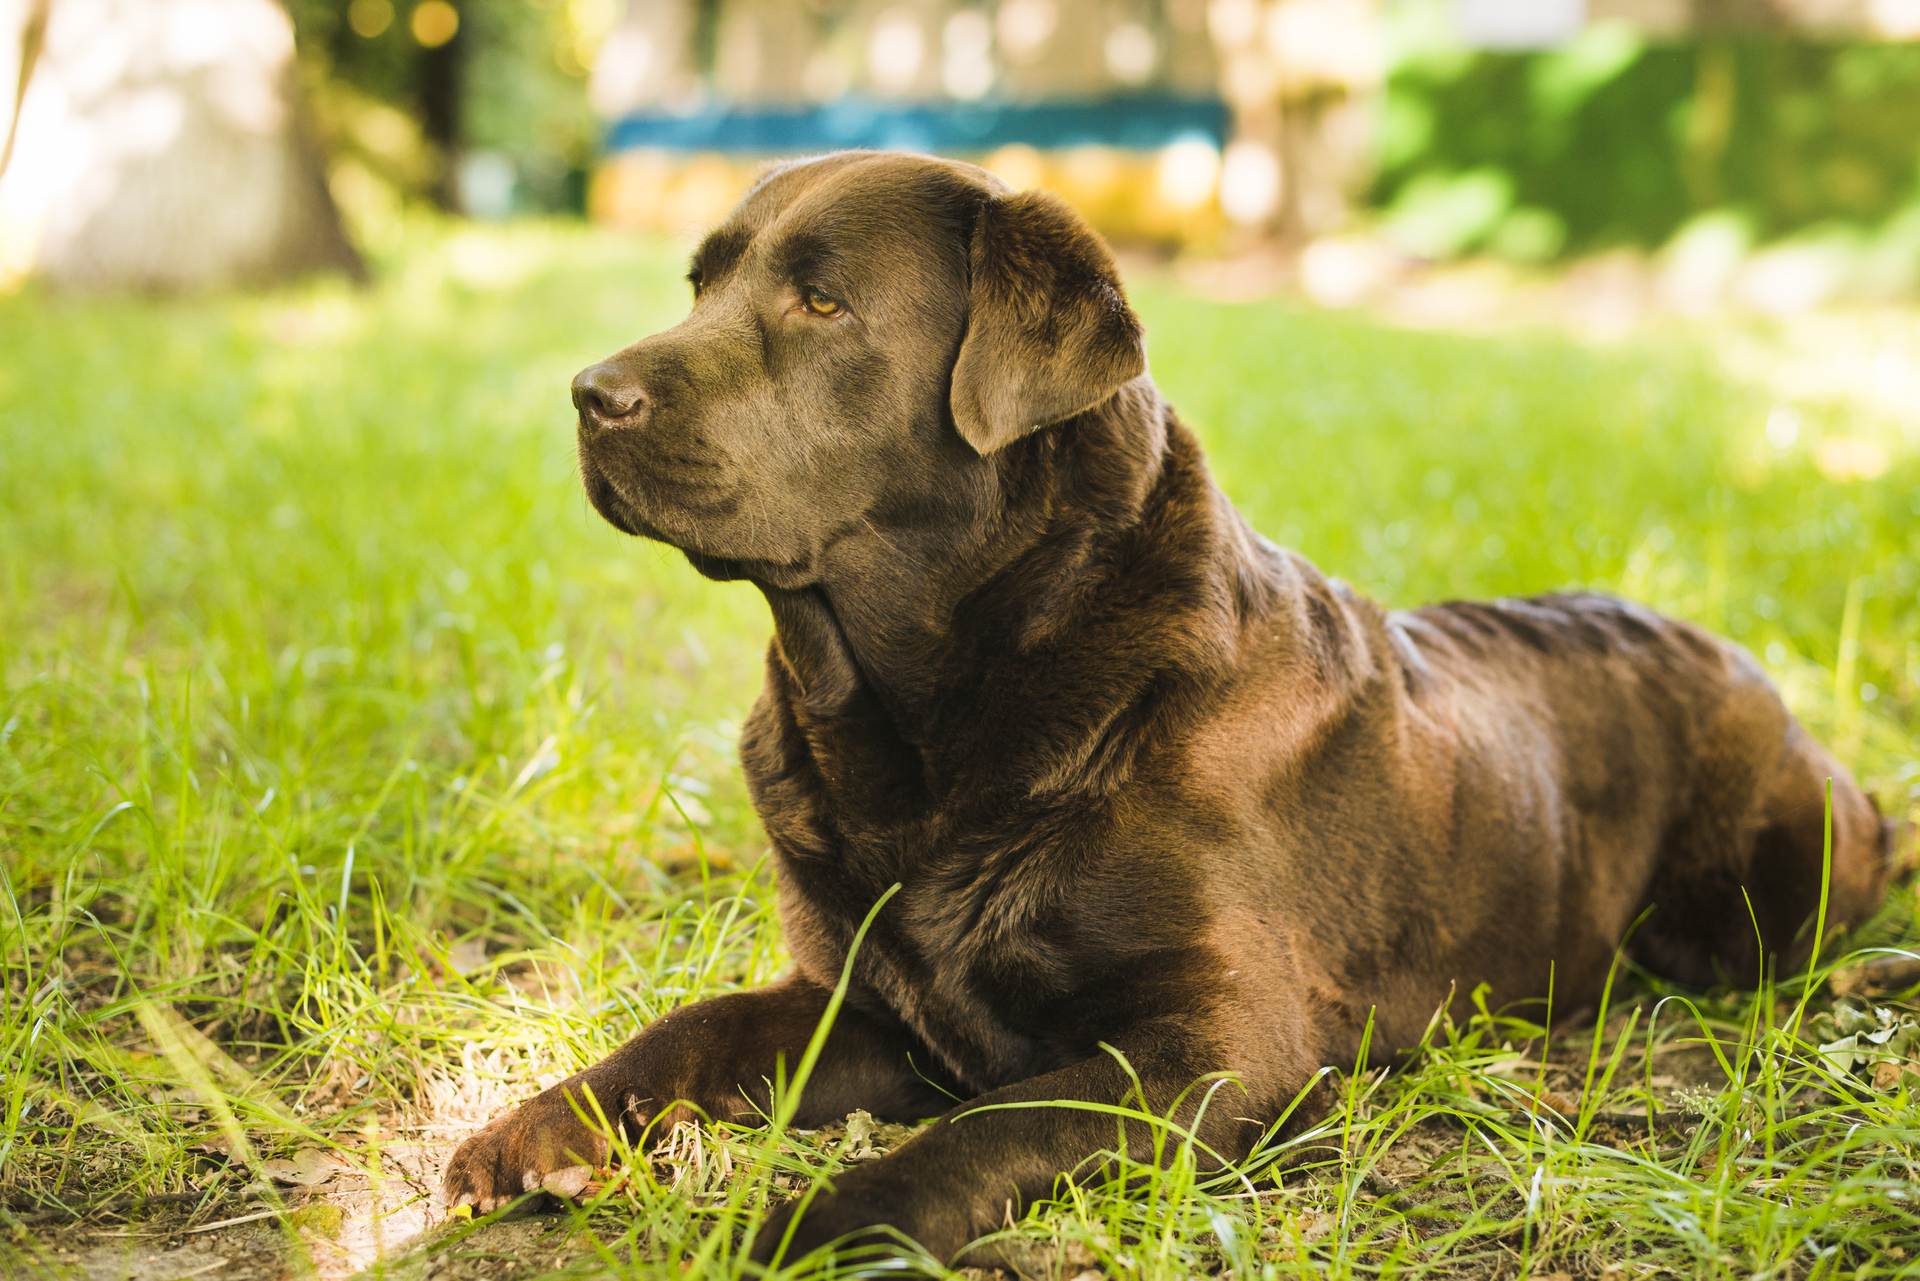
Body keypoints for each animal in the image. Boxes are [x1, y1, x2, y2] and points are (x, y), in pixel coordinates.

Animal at [441, 150, 1896, 1259]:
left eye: (822, 302)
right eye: (702, 282)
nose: (590, 394)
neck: (926, 722)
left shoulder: (1219, 1042)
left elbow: (991, 1123)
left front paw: (821, 1224)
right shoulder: (872, 1002)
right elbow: (697, 1025)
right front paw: (542, 1125)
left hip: (1770, 907)